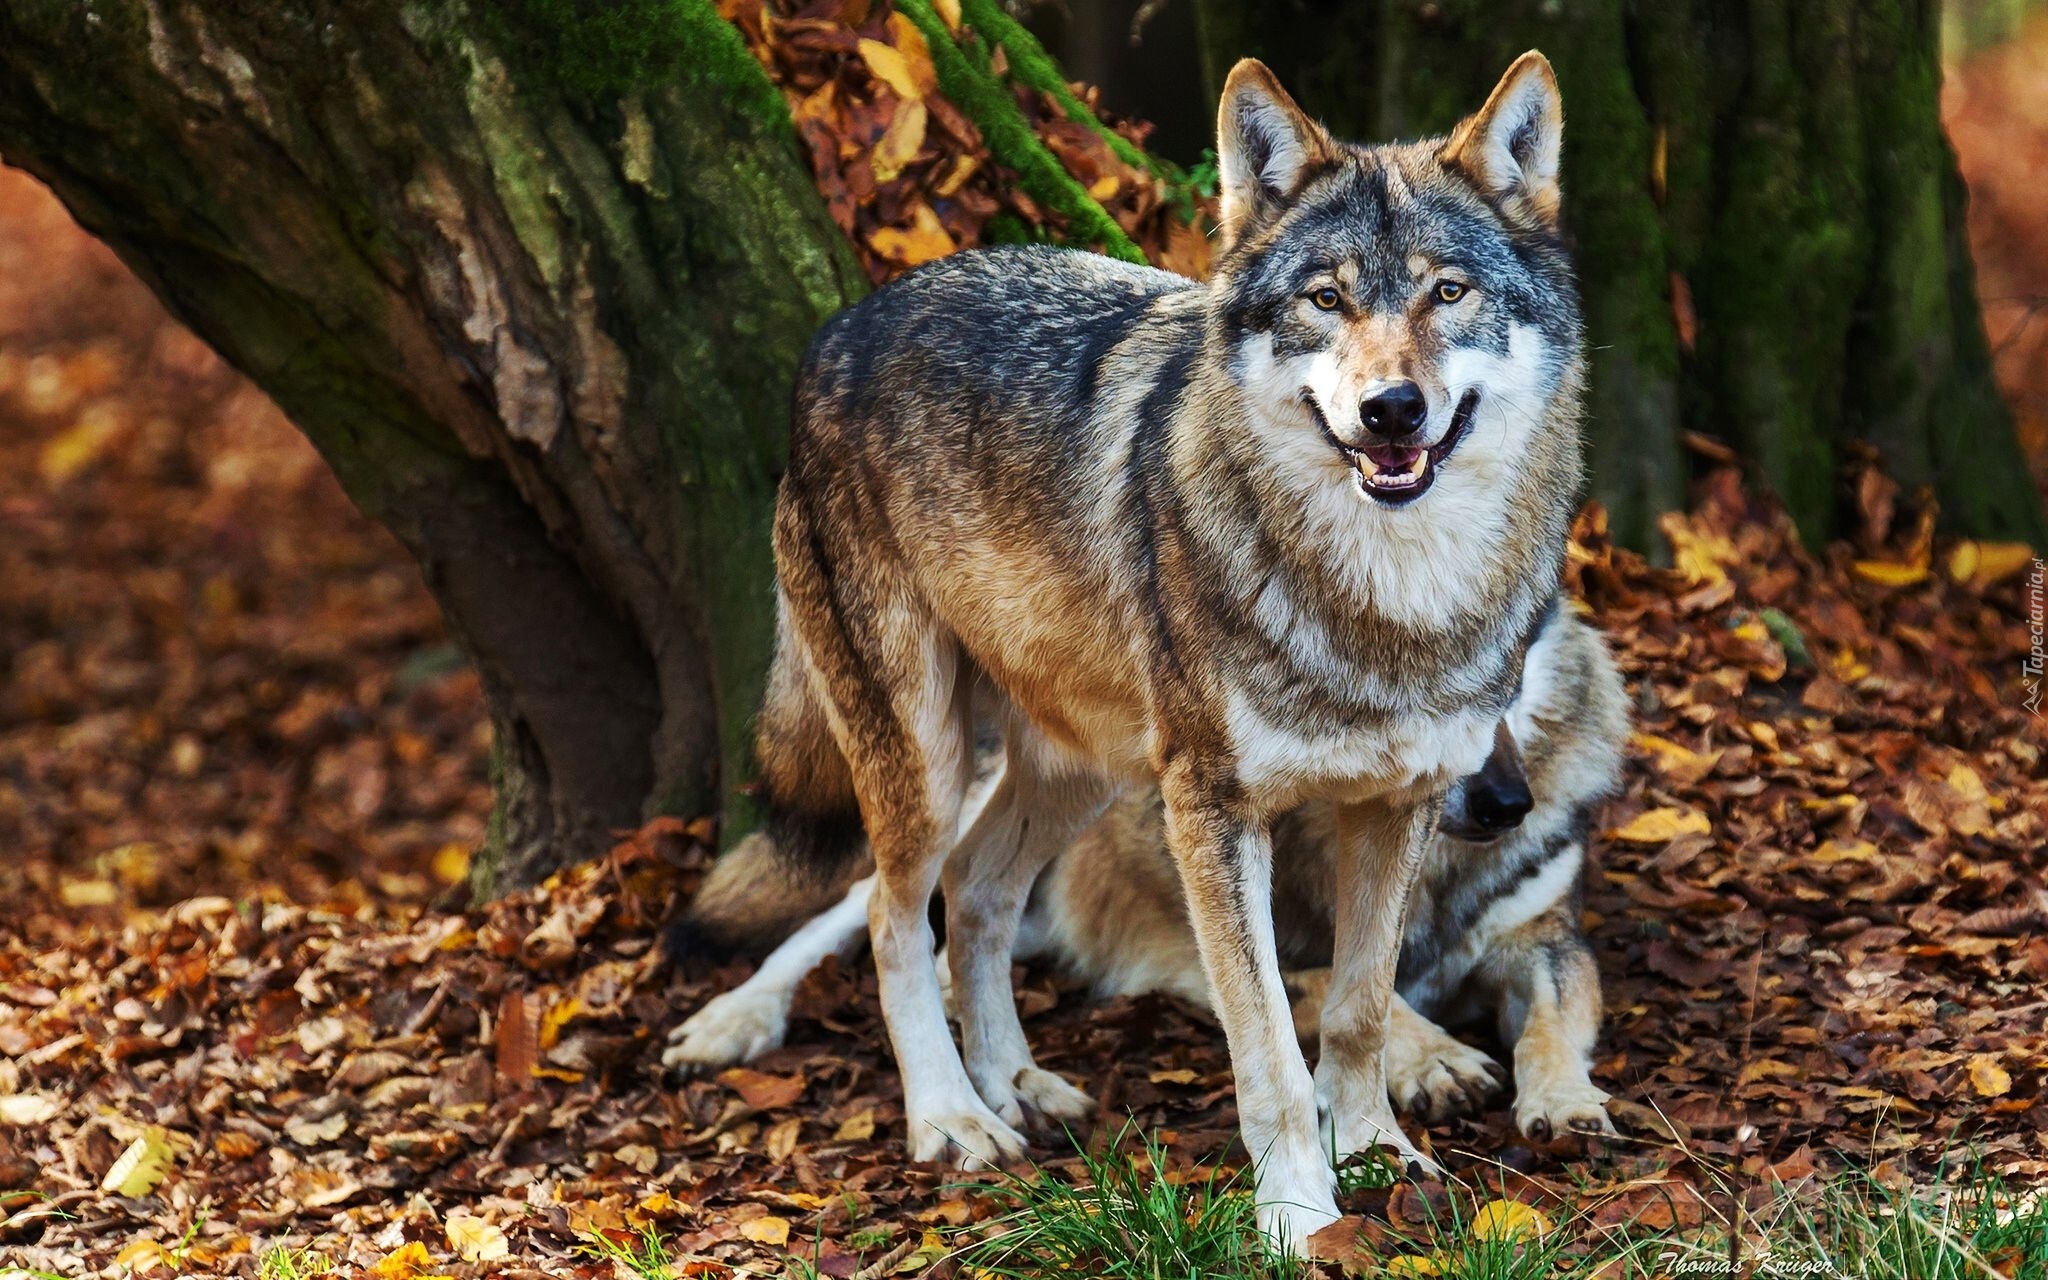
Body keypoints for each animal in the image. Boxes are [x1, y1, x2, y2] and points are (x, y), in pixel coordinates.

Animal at [671, 602, 1630, 1146]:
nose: (1507, 804)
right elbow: (1363, 997)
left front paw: (1566, 1102)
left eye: (1501, 680)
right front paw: (1435, 1061)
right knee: (853, 912)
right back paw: (730, 1021)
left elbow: (1547, 1029)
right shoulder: (1255, 956)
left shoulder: (1550, 946)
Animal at [745, 54, 1572, 1245]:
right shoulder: (1215, 813)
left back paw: (1017, 1083)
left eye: (1447, 293)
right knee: (892, 916)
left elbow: (1362, 1008)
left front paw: (1377, 1155)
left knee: (979, 898)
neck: (1388, 603)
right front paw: (1298, 1211)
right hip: (932, 761)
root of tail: (842, 323)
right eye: (1326, 299)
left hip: (1083, 768)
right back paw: (950, 1118)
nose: (1390, 410)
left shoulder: (1401, 801)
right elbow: (1269, 1045)